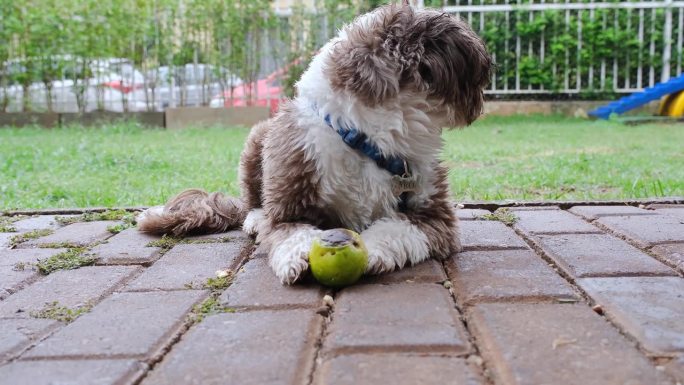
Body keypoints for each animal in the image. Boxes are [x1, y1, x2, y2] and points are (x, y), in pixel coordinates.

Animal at [138, 2, 492, 282]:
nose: (489, 63)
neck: (364, 140)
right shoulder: (289, 198)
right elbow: (290, 230)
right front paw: (296, 254)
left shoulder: (437, 217)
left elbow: (398, 227)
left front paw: (370, 248)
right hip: (257, 140)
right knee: (252, 201)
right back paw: (254, 218)